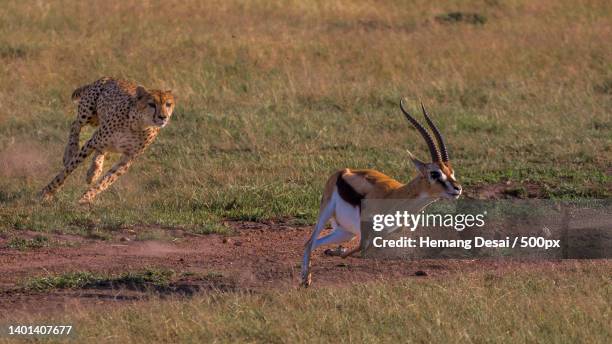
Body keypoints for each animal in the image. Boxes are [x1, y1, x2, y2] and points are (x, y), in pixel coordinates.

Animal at [40, 77, 175, 204]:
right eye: (151, 104)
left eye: (168, 104)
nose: (163, 117)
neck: (139, 125)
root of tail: (109, 77)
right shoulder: (93, 141)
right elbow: (69, 169)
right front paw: (47, 192)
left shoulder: (127, 158)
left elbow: (106, 181)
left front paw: (86, 197)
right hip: (88, 114)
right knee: (75, 124)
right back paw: (71, 152)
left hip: (97, 125)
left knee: (100, 149)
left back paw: (94, 172)